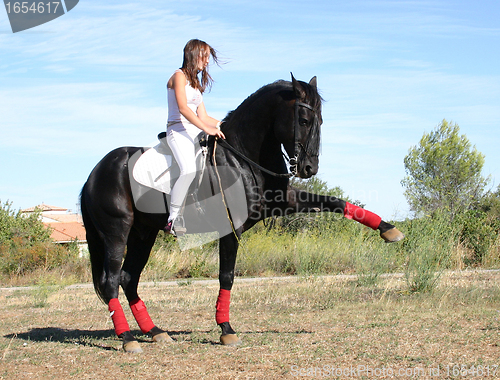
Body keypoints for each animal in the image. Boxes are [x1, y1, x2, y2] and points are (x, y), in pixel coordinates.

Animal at [81, 75, 402, 354]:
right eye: (303, 120)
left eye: (320, 121)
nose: (309, 168)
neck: (242, 157)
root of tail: (95, 174)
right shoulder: (231, 228)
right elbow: (227, 275)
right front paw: (226, 329)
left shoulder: (282, 203)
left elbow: (334, 202)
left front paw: (388, 229)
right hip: (117, 233)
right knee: (112, 281)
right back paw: (127, 338)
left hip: (143, 235)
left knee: (129, 278)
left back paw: (155, 331)